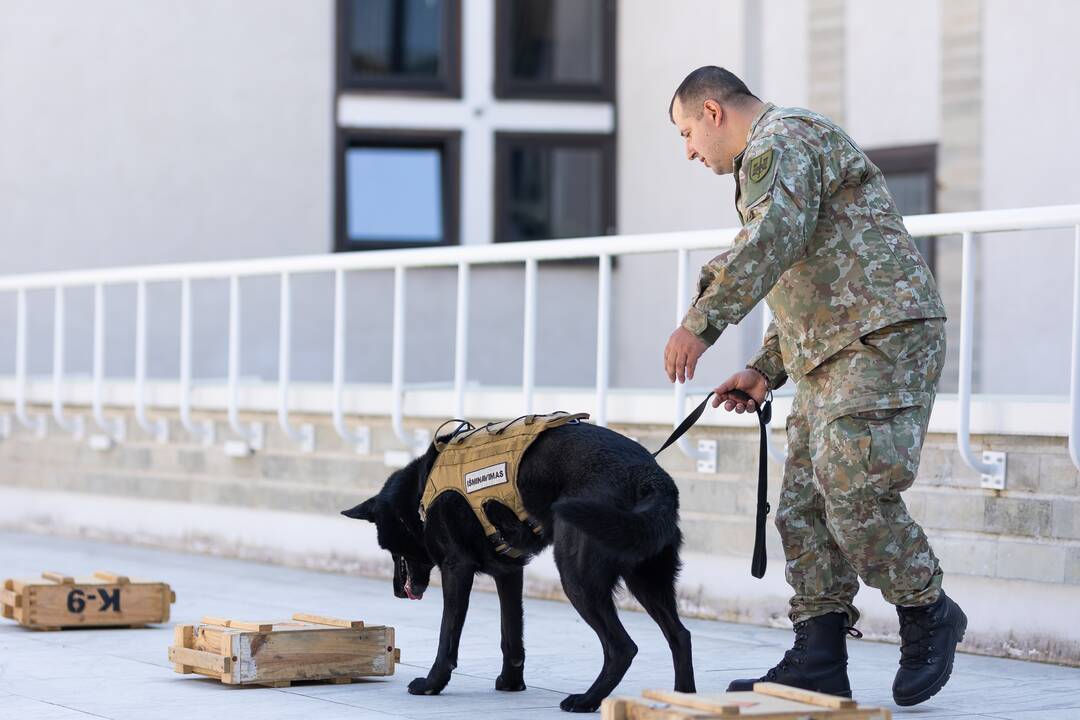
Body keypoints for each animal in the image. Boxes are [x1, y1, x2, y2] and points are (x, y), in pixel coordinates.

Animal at [345, 418, 699, 712]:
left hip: (577, 578)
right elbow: (511, 634)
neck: (421, 490)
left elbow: (448, 634)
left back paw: (587, 701)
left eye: (389, 549)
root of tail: (649, 476)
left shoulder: (456, 569)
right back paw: (683, 702)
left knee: (622, 647)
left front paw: (432, 684)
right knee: (680, 636)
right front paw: (512, 683)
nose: (397, 592)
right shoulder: (510, 572)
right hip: (647, 579)